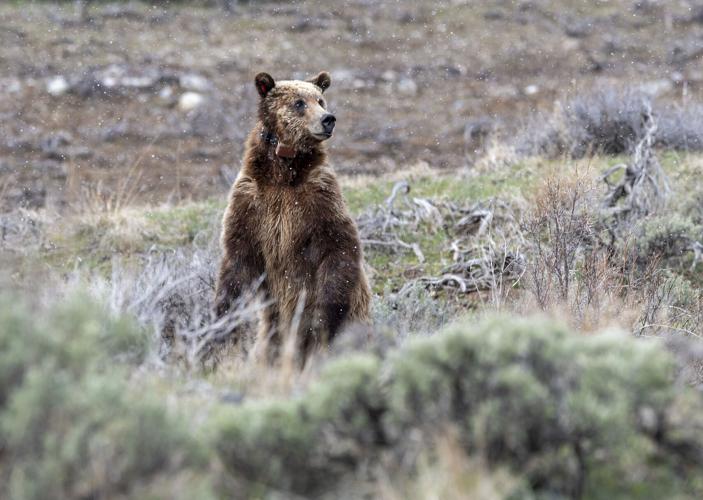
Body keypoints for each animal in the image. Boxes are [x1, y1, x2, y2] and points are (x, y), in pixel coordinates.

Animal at [214, 71, 371, 361]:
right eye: (299, 102)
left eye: (320, 100)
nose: (328, 119)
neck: (283, 172)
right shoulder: (251, 201)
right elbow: (238, 259)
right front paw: (222, 322)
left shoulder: (319, 196)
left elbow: (339, 244)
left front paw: (324, 320)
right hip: (272, 329)